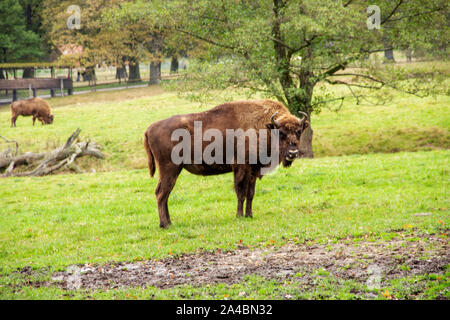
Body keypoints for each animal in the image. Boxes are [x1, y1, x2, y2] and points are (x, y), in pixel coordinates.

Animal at [144, 99, 310, 228]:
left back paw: (168, 223)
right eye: (281, 133)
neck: (265, 126)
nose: (293, 153)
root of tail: (149, 129)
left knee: (164, 194)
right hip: (169, 169)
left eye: (298, 131)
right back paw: (165, 224)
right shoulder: (241, 168)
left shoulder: (254, 170)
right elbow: (241, 192)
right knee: (161, 194)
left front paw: (249, 215)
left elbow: (250, 194)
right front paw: (239, 216)